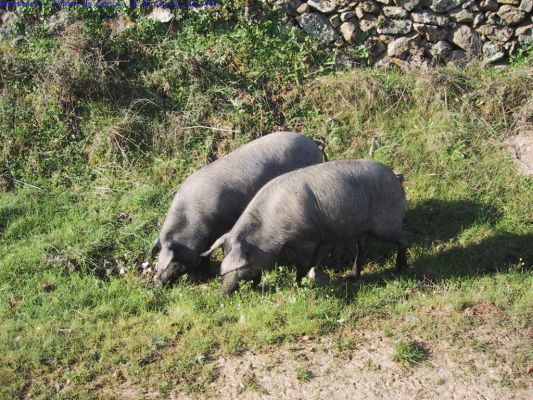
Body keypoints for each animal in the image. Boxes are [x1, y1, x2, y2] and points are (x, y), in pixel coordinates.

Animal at [150, 132, 324, 284]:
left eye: (173, 259)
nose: (157, 282)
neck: (192, 220)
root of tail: (312, 143)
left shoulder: (216, 231)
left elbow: (207, 253)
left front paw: (205, 274)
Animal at [201, 159, 408, 294]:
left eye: (242, 262)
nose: (223, 292)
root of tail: (396, 177)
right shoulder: (319, 239)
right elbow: (313, 262)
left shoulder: (308, 240)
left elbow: (302, 264)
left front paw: (297, 285)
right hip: (363, 229)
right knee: (363, 249)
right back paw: (352, 277)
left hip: (387, 223)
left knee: (403, 238)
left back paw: (401, 268)